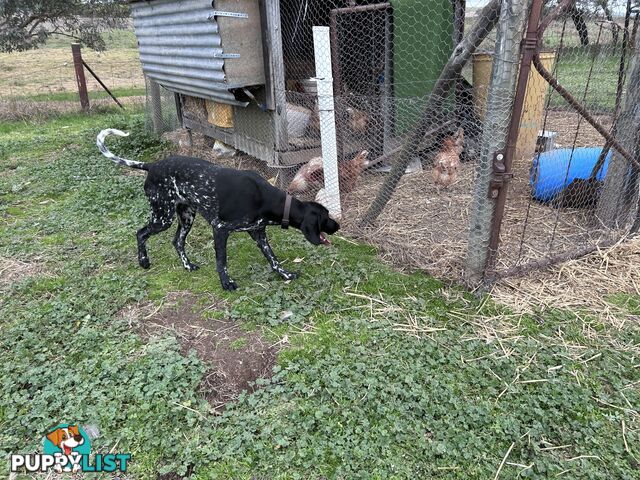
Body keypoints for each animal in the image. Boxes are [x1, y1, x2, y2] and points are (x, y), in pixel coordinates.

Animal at [96, 127, 340, 290]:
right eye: (326, 217)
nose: (337, 226)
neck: (265, 198)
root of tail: (152, 165)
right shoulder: (220, 228)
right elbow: (221, 261)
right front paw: (226, 282)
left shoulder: (258, 233)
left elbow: (273, 259)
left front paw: (285, 274)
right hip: (163, 217)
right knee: (141, 233)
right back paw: (143, 261)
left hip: (186, 217)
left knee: (177, 242)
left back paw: (187, 266)